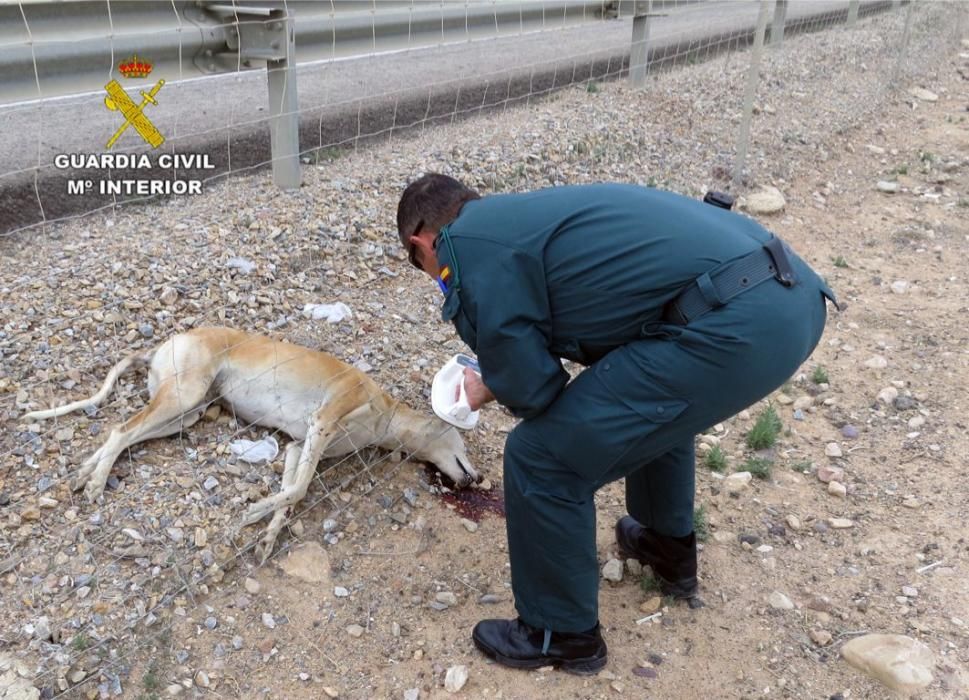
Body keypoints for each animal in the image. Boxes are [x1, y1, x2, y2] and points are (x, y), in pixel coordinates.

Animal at [28, 326, 482, 556]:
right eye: (462, 443)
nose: (476, 479)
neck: (385, 413)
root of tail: (162, 344)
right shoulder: (324, 420)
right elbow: (299, 489)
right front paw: (251, 514)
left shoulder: (301, 444)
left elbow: (292, 492)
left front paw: (268, 535)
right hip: (183, 395)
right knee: (121, 430)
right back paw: (95, 482)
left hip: (186, 412)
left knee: (122, 434)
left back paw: (84, 473)